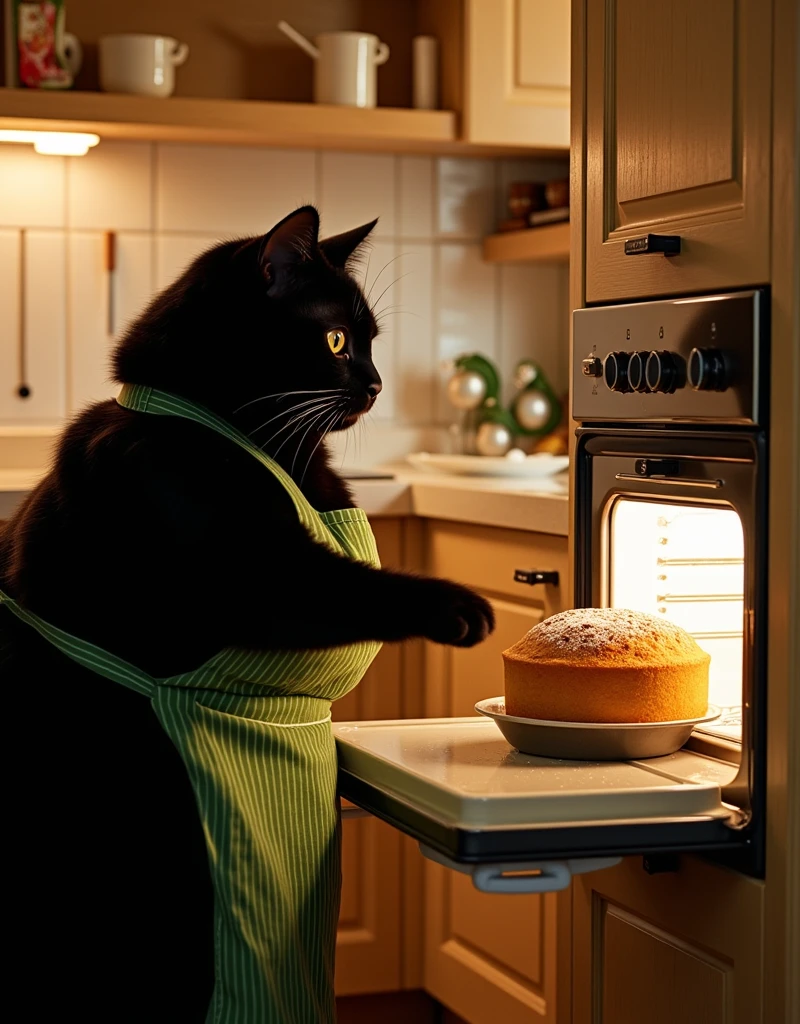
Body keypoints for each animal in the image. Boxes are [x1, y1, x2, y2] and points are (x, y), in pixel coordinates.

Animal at [0, 203, 493, 1019]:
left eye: (370, 341)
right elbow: (354, 587)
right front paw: (459, 605)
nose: (377, 383)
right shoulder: (254, 574)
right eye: (337, 340)